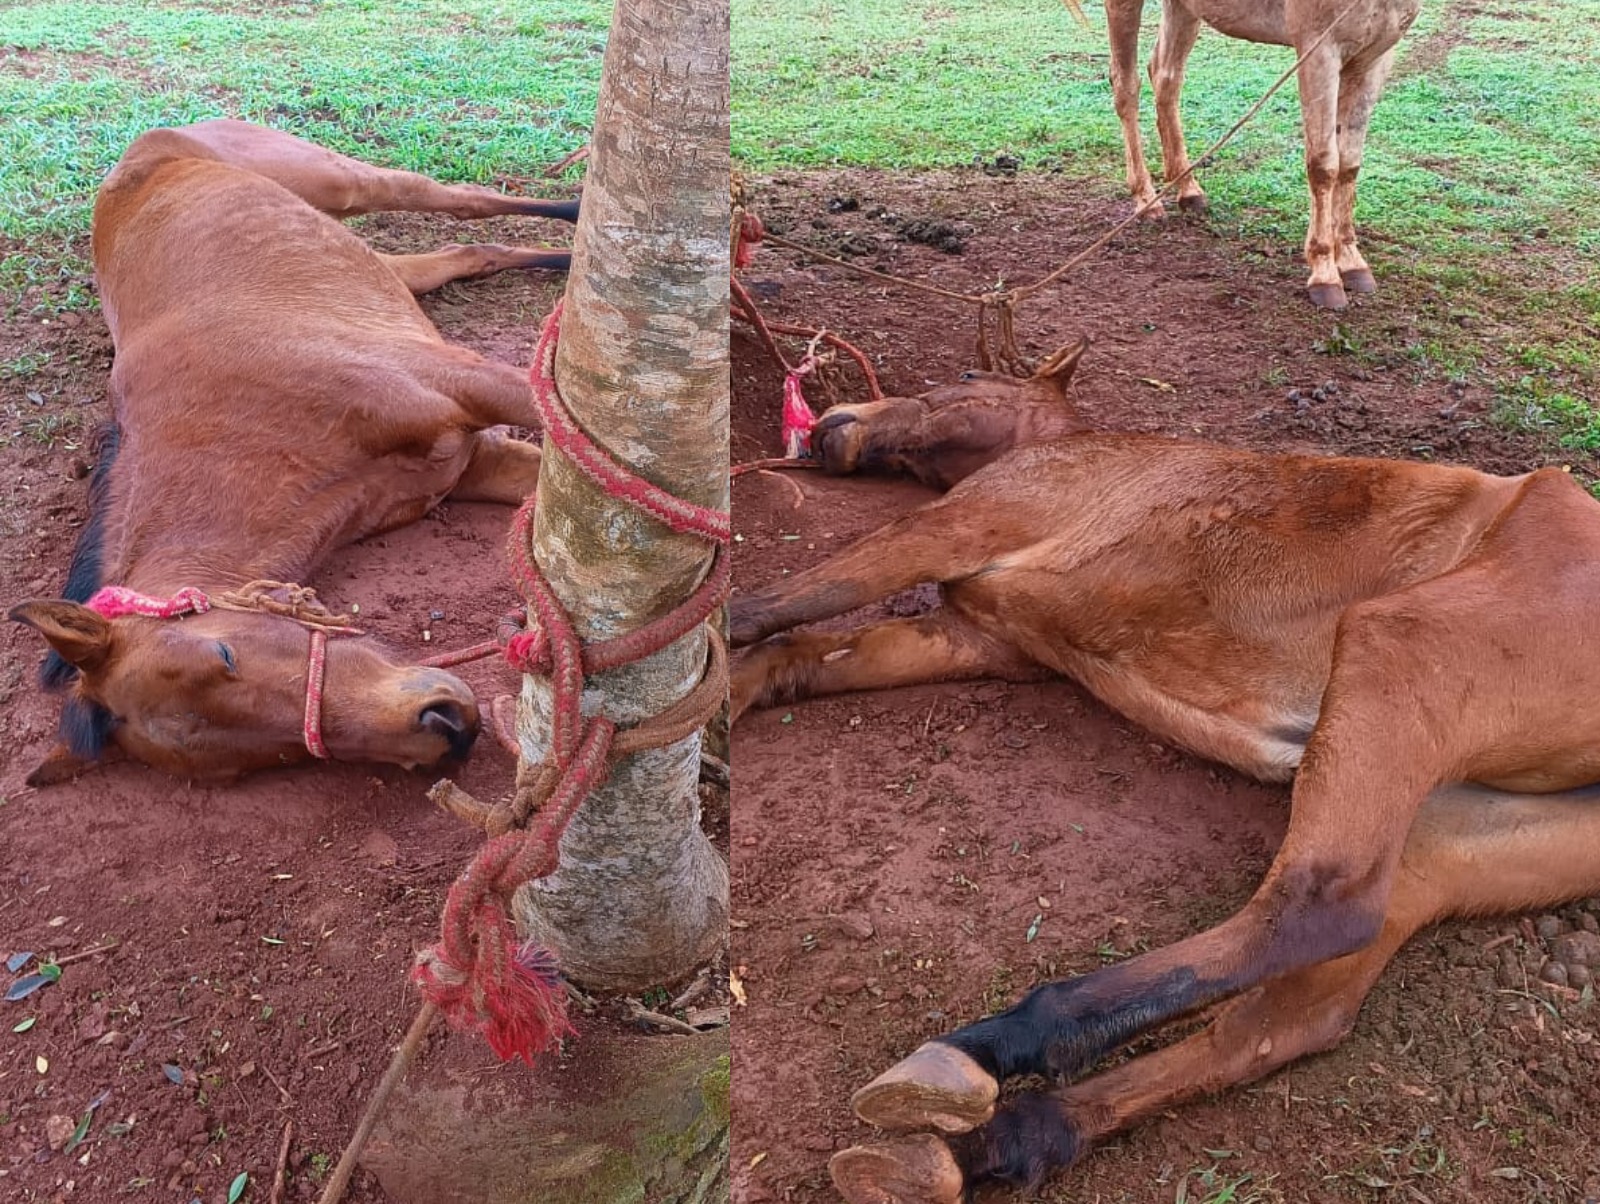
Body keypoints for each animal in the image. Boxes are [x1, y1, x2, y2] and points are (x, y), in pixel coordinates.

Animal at [9, 120, 579, 784]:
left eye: (224, 652)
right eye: (254, 763)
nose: (448, 728)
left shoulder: (471, 381)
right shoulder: (478, 466)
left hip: (345, 182)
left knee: (464, 199)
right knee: (470, 253)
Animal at [729, 348, 1600, 1200]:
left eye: (969, 378)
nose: (833, 423)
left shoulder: (954, 527)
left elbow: (770, 607)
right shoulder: (975, 639)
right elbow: (794, 650)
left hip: (1395, 645)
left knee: (1319, 909)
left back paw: (995, 1048)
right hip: (1441, 831)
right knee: (1280, 1022)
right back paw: (988, 1142)